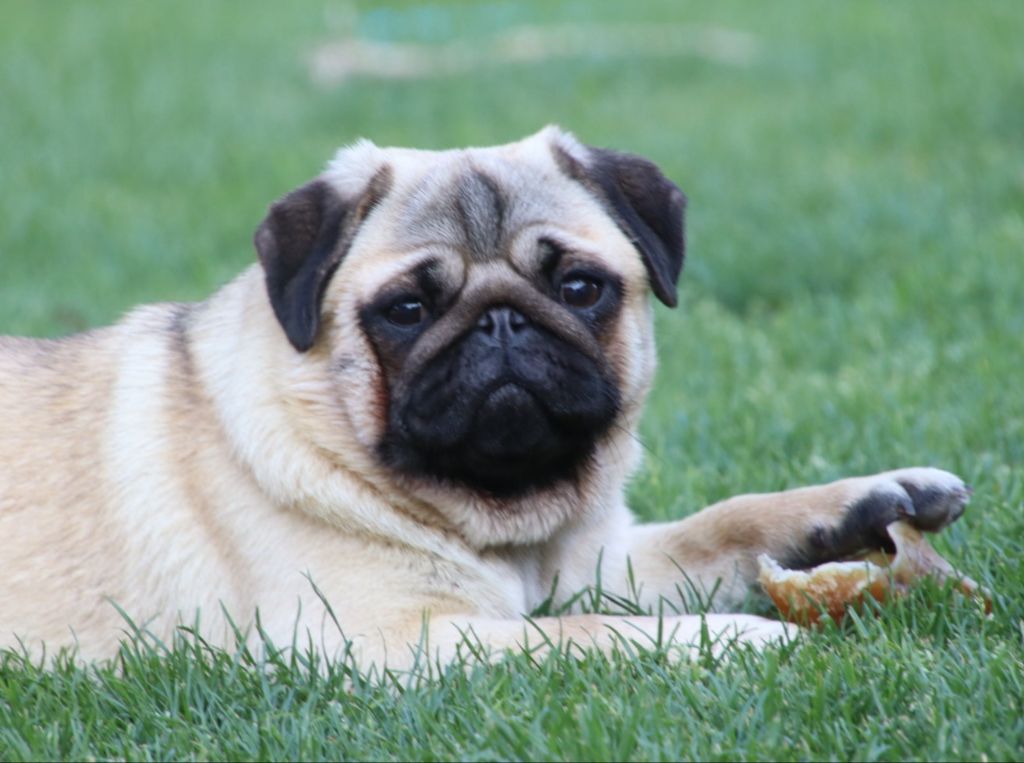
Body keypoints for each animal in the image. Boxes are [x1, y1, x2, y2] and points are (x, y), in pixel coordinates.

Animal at [0, 126, 966, 667]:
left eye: (580, 288)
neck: (500, 523)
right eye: (407, 309)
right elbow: (591, 637)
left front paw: (868, 502)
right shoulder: (396, 637)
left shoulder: (604, 564)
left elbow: (726, 523)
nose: (501, 324)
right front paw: (734, 638)